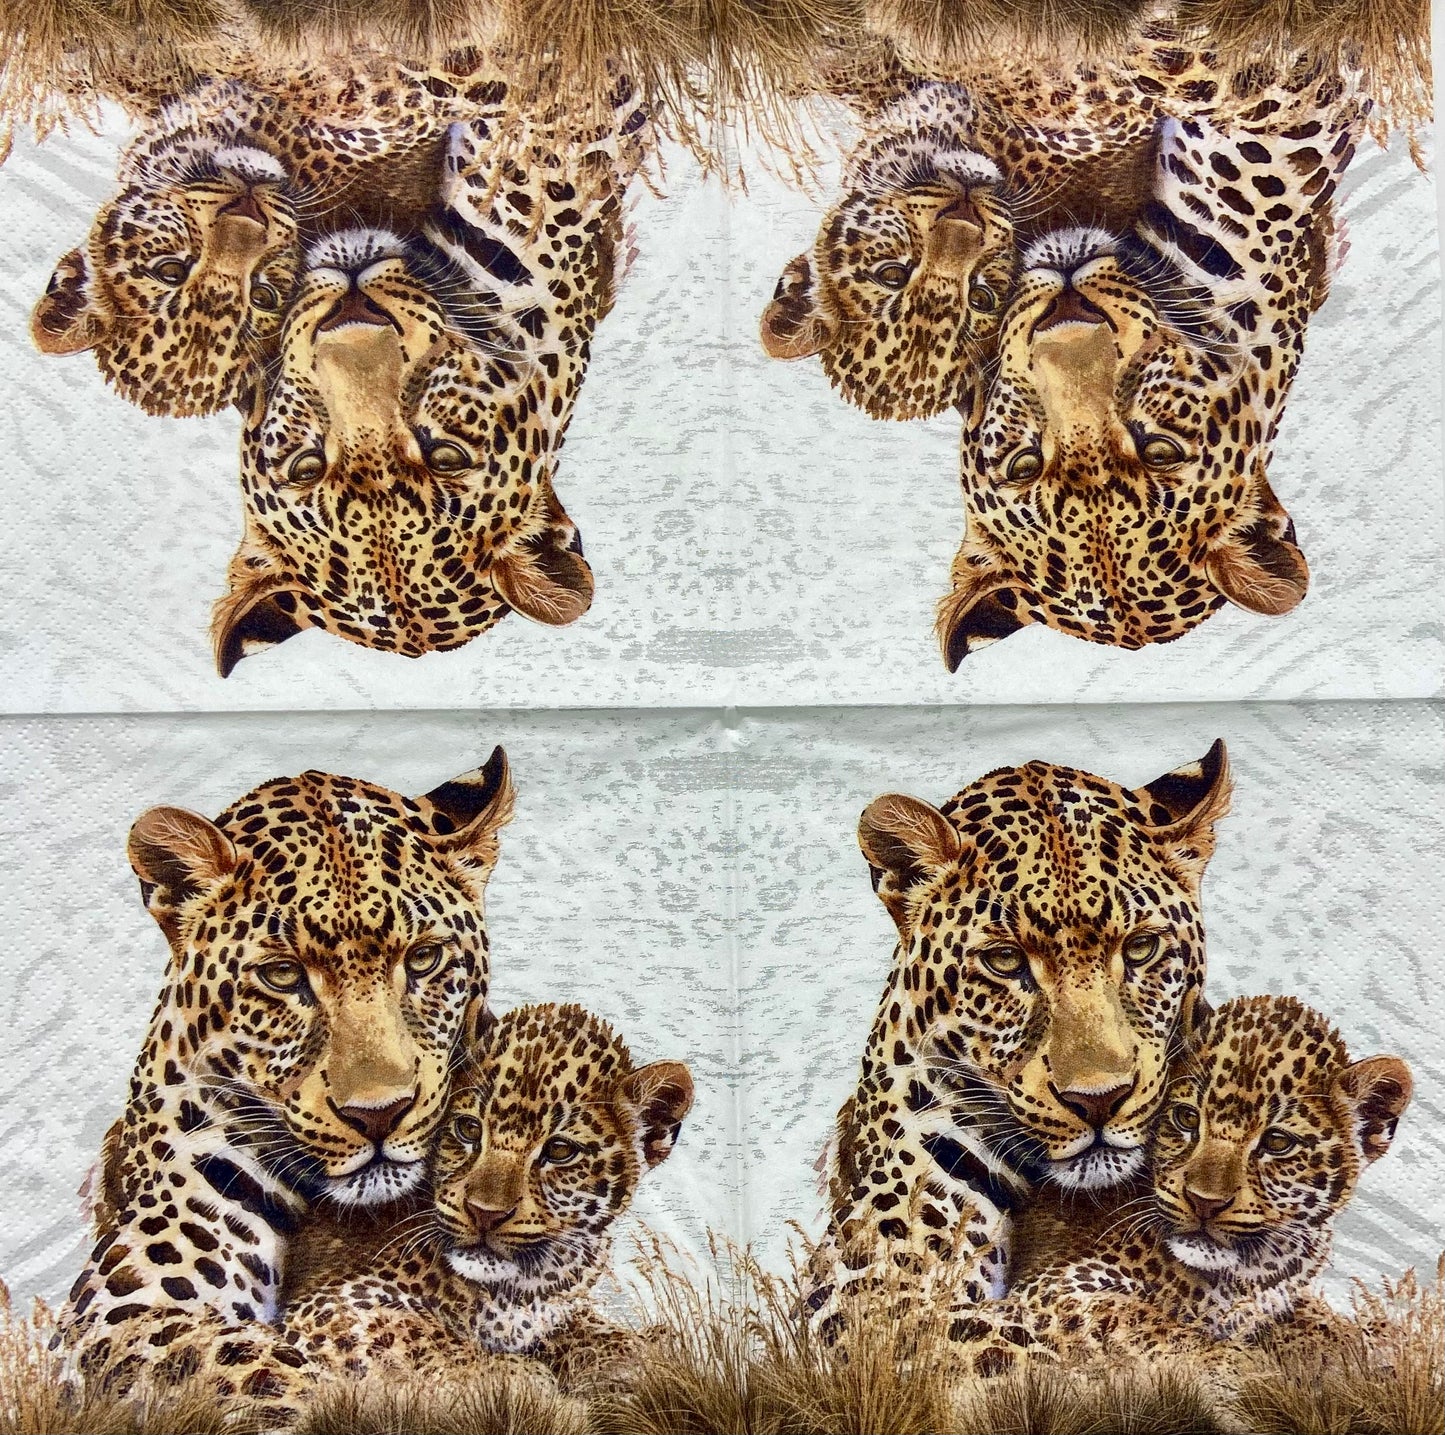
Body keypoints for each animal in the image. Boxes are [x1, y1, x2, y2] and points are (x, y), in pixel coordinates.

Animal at [939, 994, 1413, 1375]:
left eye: (1277, 1143)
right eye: (1186, 1118)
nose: (1203, 1202)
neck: (1250, 1270)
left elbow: (1321, 1325)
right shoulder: (1055, 1289)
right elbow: (1144, 1320)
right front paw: (1243, 1371)